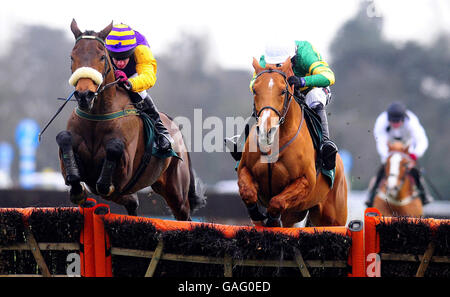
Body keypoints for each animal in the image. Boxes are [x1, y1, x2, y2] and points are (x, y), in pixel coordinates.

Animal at [56, 19, 206, 217]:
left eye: (102, 57)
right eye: (72, 57)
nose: (84, 95)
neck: (97, 117)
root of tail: (174, 127)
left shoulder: (125, 171)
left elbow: (112, 154)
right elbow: (65, 144)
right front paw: (79, 192)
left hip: (177, 192)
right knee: (131, 202)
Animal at [237, 56, 346, 227]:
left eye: (283, 91)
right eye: (255, 90)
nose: (266, 131)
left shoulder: (305, 181)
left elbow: (277, 202)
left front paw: (273, 221)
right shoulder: (244, 169)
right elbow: (247, 192)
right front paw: (258, 215)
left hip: (332, 219)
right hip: (296, 215)